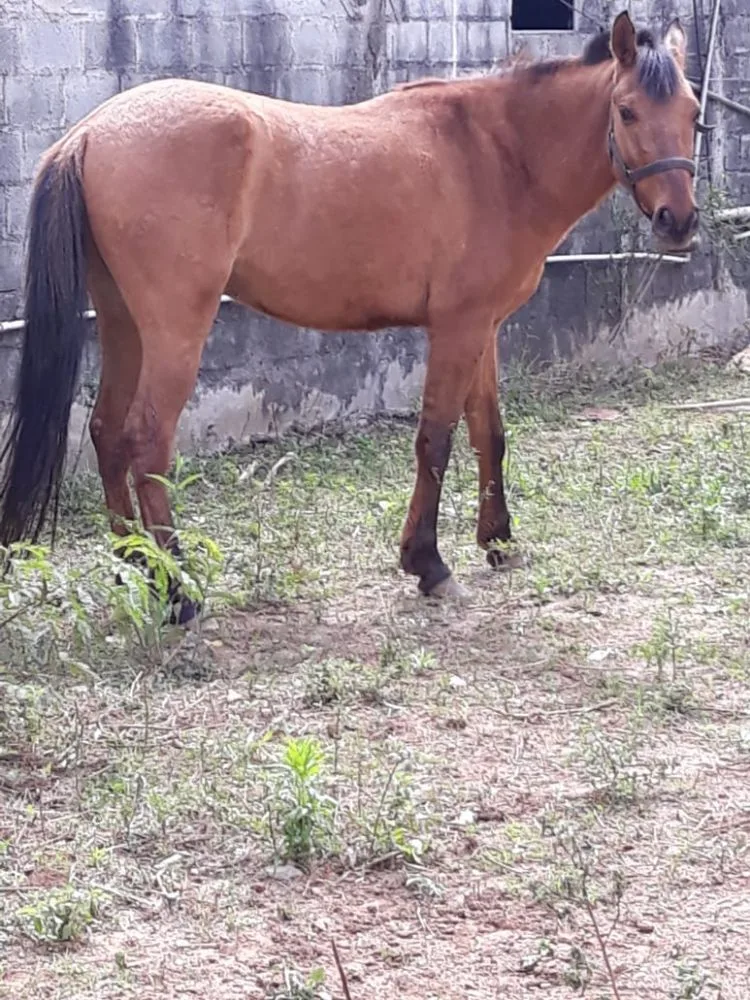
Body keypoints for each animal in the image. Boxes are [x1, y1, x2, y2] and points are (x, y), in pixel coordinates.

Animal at [0, 12, 702, 624]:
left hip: (122, 322)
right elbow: (436, 439)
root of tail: (90, 132)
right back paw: (178, 593)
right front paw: (428, 564)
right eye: (627, 110)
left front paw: (499, 542)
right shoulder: (457, 329)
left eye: (694, 114)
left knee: (106, 433)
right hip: (175, 329)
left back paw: (137, 568)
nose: (680, 222)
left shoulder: (483, 328)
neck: (497, 154)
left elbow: (489, 433)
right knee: (144, 440)